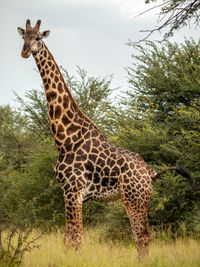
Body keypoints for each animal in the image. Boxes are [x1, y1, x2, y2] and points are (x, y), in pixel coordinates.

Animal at [17, 19, 195, 260]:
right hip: (137, 199)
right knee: (142, 238)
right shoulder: (68, 192)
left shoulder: (73, 190)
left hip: (134, 199)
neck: (64, 138)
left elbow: (76, 241)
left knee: (143, 237)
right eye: (23, 36)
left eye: (38, 38)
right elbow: (68, 240)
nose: (25, 51)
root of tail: (150, 172)